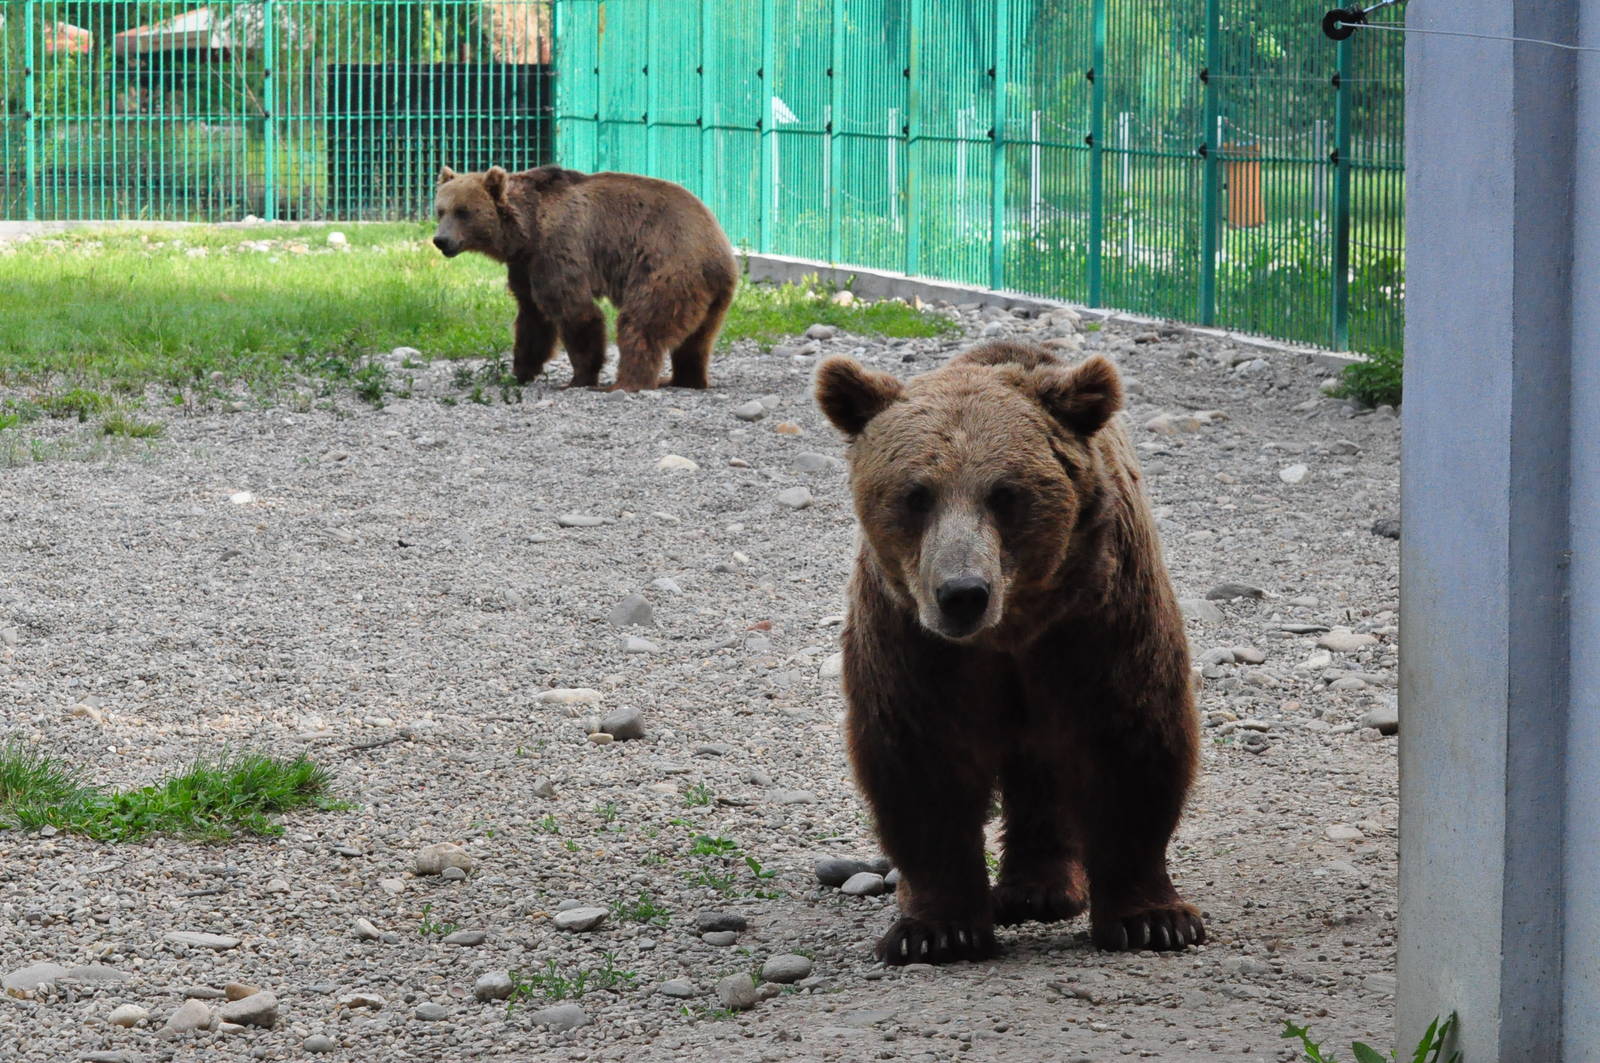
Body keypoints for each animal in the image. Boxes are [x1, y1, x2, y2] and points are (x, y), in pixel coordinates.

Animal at [432, 165, 739, 392]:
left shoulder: (558, 249)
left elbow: (574, 311)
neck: (528, 229)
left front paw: (579, 377)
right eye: (441, 210)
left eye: (463, 211)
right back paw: (684, 378)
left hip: (665, 268)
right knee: (697, 340)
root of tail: (720, 250)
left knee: (641, 325)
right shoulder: (525, 264)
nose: (441, 240)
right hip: (710, 296)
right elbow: (532, 317)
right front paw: (519, 371)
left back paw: (626, 383)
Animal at [814, 339, 1204, 964]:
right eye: (916, 495)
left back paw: (1041, 890)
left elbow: (1129, 739)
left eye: (1005, 494)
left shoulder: (1100, 619)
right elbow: (922, 760)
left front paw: (1153, 919)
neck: (1010, 631)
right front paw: (936, 930)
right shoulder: (915, 642)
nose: (962, 593)